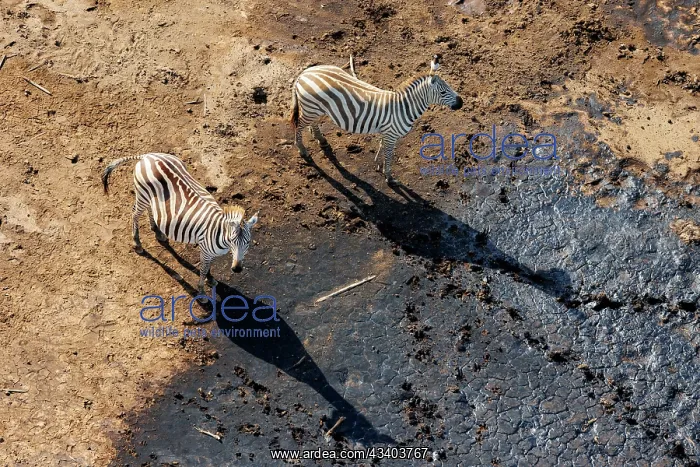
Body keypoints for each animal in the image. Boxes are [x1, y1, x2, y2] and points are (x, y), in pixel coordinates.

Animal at [102, 153, 259, 296]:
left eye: (248, 242)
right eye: (232, 240)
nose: (237, 269)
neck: (220, 235)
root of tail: (147, 156)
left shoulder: (211, 252)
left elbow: (209, 267)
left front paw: (210, 279)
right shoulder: (205, 250)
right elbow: (203, 269)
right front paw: (201, 291)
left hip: (150, 196)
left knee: (151, 209)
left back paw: (157, 231)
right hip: (142, 194)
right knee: (134, 214)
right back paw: (137, 243)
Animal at [290, 56, 463, 184]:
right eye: (442, 92)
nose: (461, 102)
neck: (403, 108)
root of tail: (303, 74)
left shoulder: (386, 133)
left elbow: (383, 149)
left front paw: (380, 167)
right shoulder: (391, 135)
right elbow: (389, 155)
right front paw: (389, 176)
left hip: (316, 108)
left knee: (312, 123)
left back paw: (321, 139)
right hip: (311, 108)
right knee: (299, 126)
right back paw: (302, 150)